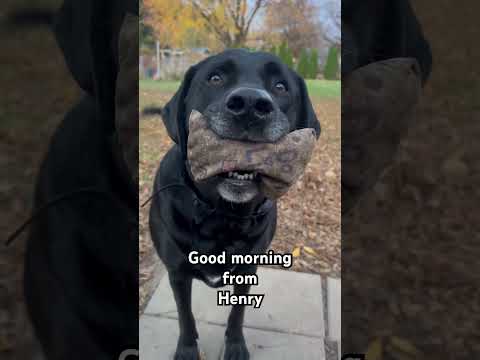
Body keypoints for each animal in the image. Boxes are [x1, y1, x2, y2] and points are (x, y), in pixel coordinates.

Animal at [150, 48, 320, 360]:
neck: (221, 215)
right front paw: (187, 348)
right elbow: (184, 315)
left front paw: (235, 345)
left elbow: (237, 313)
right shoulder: (177, 273)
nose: (251, 104)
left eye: (280, 86)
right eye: (215, 78)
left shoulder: (247, 270)